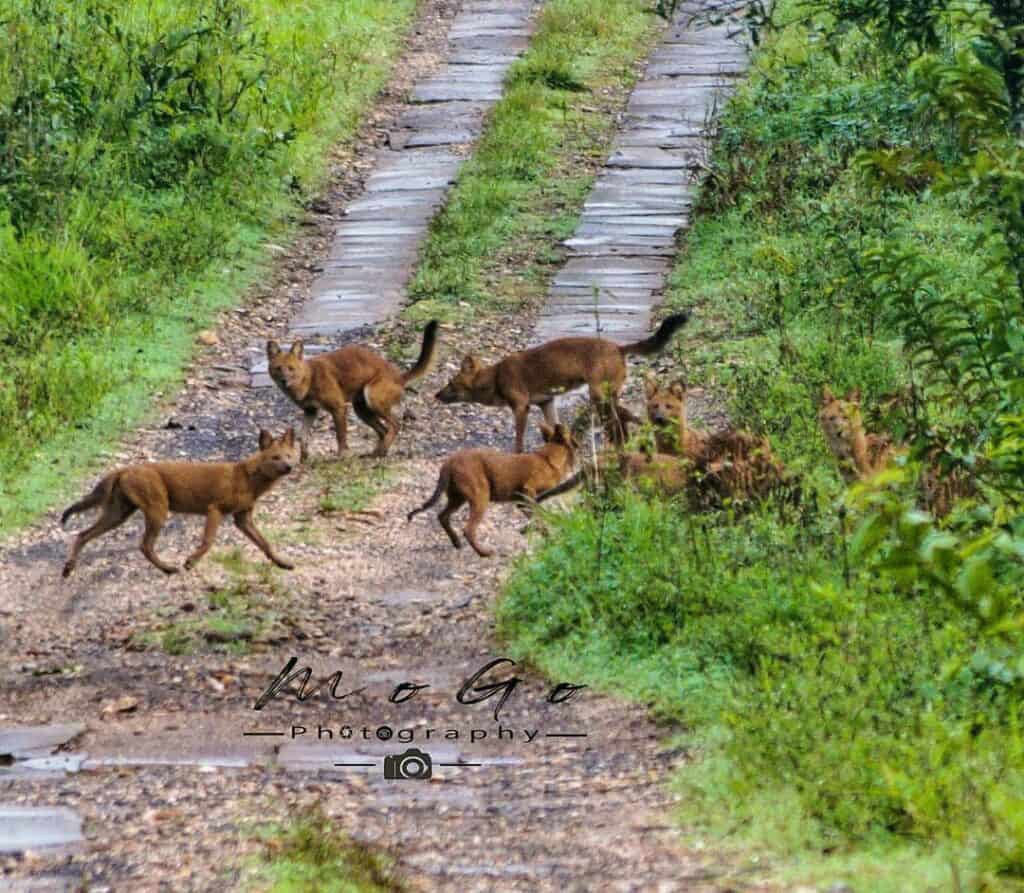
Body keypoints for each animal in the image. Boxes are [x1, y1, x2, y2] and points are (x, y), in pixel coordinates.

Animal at [62, 428, 299, 577]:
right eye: (275, 457)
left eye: (289, 455)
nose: (290, 467)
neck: (249, 480)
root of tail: (124, 468)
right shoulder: (215, 509)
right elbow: (208, 542)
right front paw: (190, 561)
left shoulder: (243, 518)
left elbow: (265, 543)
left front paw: (282, 563)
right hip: (157, 510)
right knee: (144, 545)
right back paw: (168, 568)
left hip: (118, 514)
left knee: (82, 534)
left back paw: (68, 568)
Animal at [266, 321, 438, 460]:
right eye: (278, 368)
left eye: (291, 369)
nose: (284, 381)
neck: (309, 378)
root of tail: (399, 376)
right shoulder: (310, 411)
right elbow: (303, 437)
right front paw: (303, 458)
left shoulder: (338, 407)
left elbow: (340, 435)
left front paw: (342, 455)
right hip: (361, 410)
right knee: (383, 430)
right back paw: (376, 453)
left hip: (372, 397)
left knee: (395, 425)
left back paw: (380, 451)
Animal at [409, 421, 585, 553]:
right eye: (573, 435)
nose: (580, 442)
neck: (548, 459)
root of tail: (449, 461)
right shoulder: (528, 491)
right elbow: (539, 516)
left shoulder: (522, 501)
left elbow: (536, 518)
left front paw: (546, 536)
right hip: (480, 497)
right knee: (468, 529)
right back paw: (485, 553)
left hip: (458, 498)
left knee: (442, 516)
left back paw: (457, 543)